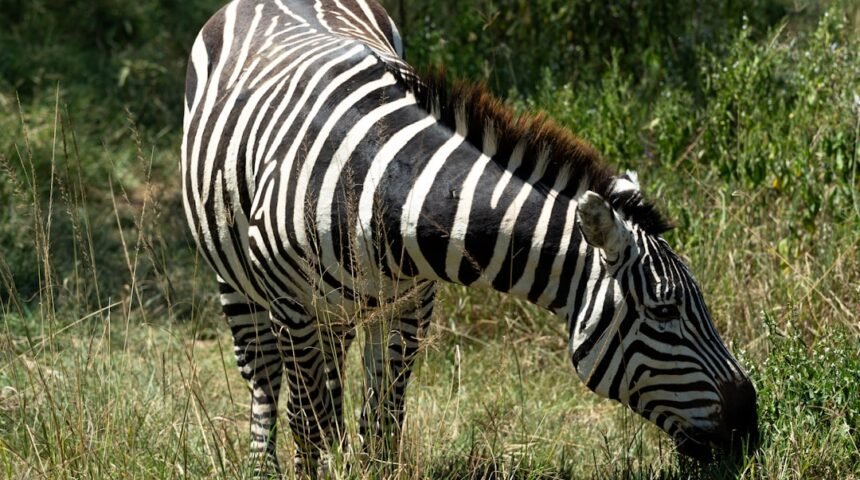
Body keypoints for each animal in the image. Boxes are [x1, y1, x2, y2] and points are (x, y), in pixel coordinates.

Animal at [181, 0, 758, 475]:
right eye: (663, 310)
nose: (750, 426)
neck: (381, 189)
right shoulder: (294, 311)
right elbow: (308, 429)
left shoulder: (410, 306)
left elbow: (382, 426)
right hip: (241, 284)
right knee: (265, 382)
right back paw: (263, 466)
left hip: (345, 310)